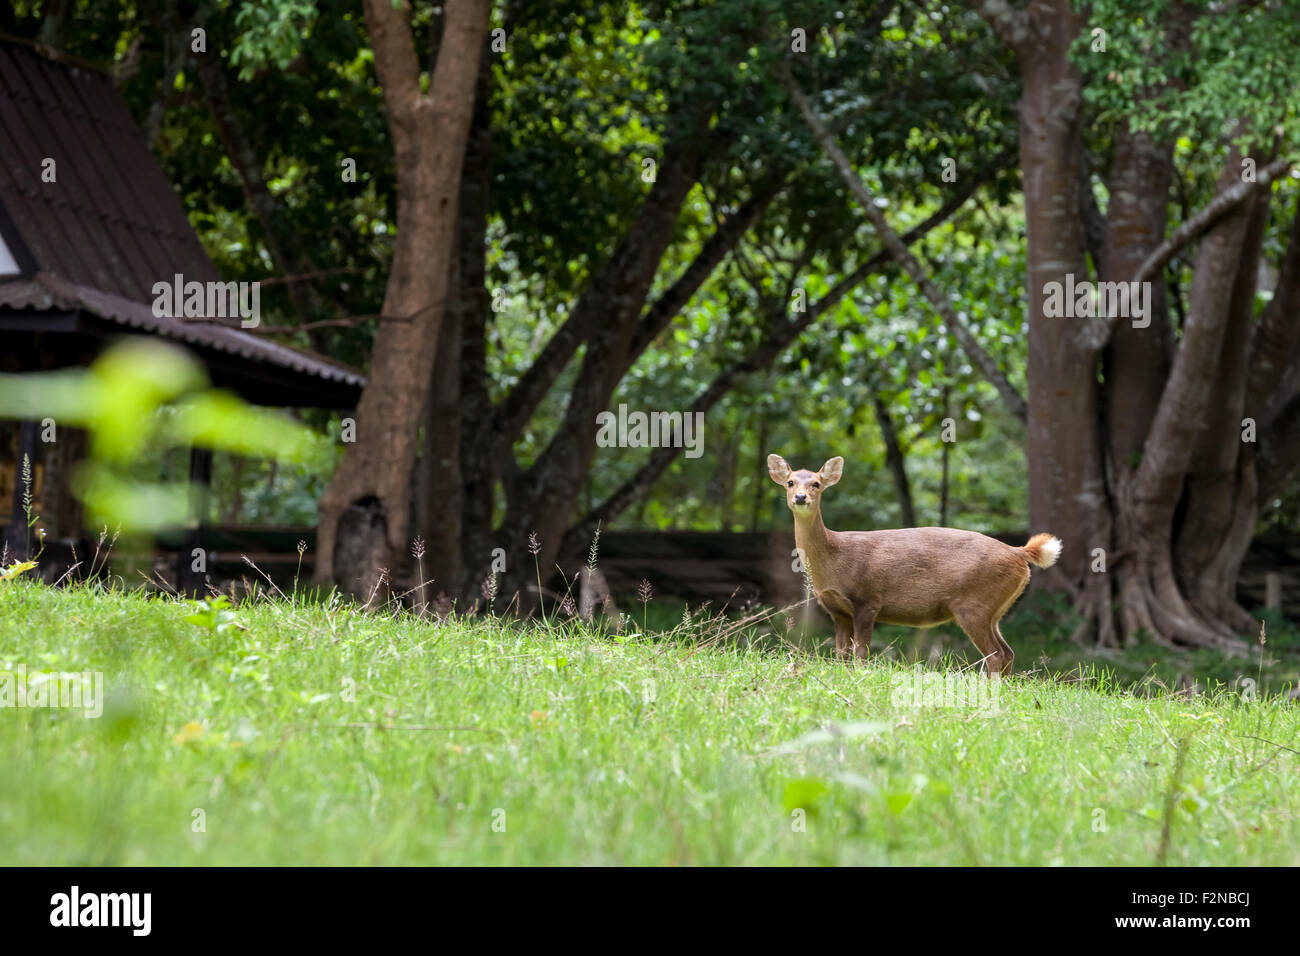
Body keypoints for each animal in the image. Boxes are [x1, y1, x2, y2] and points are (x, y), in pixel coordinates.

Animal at [764, 455, 1060, 671]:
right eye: (790, 482)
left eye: (816, 483)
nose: (800, 498)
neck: (834, 559)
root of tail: (1018, 552)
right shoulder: (838, 611)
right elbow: (841, 655)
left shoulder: (867, 601)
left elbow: (861, 655)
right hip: (995, 610)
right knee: (1007, 652)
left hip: (974, 604)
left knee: (996, 654)